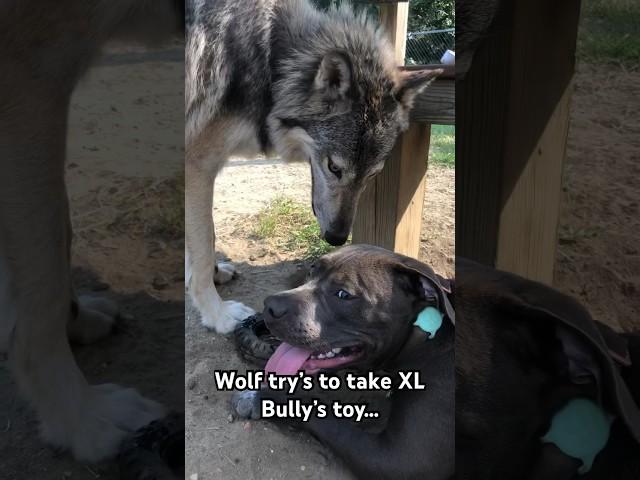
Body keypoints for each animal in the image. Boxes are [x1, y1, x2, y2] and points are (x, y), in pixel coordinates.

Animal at [186, 0, 440, 336]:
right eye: (334, 167)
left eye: (372, 174)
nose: (336, 238)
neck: (272, 62)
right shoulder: (197, 164)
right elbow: (204, 243)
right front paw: (218, 314)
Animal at [232, 248, 640, 480]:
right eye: (312, 272)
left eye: (344, 294)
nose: (269, 306)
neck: (427, 335)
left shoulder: (402, 460)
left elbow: (321, 413)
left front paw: (260, 397)